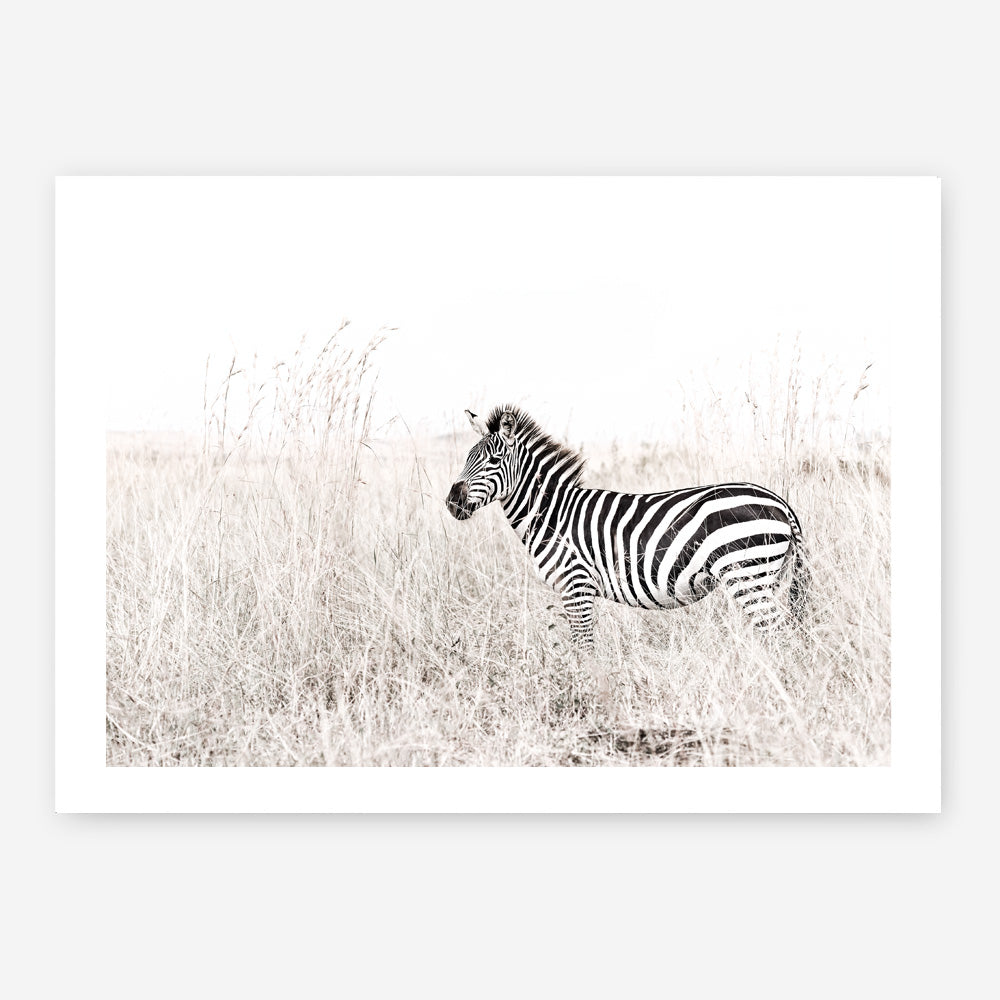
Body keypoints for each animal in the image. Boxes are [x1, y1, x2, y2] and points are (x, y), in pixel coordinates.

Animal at [446, 405, 809, 648]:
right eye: (467, 458)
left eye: (493, 461)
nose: (452, 501)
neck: (552, 514)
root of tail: (779, 501)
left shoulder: (576, 586)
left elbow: (583, 649)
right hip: (768, 576)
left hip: (747, 574)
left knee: (779, 636)